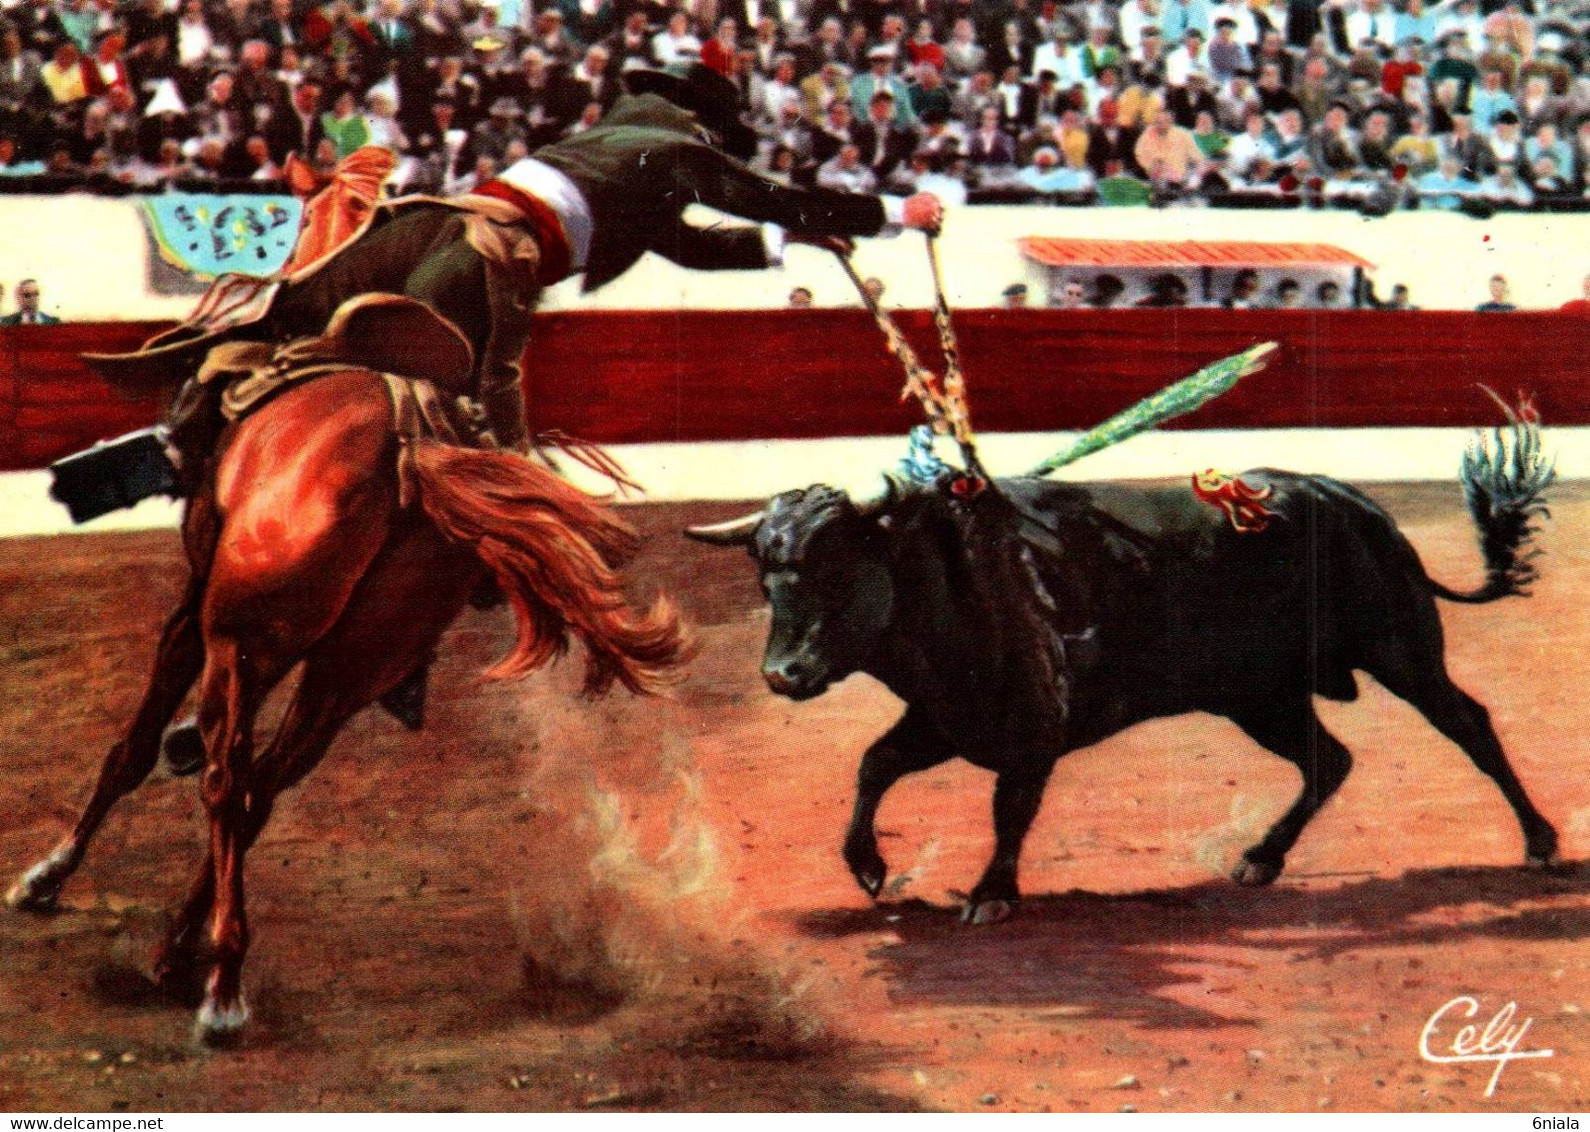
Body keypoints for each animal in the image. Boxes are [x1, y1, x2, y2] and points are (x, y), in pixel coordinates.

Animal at [6, 364, 690, 1042]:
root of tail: (412, 446)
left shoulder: (196, 616)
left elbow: (131, 752)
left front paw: (44, 877)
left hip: (243, 641)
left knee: (227, 785)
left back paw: (220, 987)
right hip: (348, 674)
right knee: (259, 791)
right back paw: (179, 950)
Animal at [690, 454, 1558, 922]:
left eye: (837, 569)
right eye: (764, 577)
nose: (782, 675)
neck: (953, 575)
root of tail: (1348, 498)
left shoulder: (1031, 731)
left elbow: (1010, 810)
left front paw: (992, 895)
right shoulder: (948, 717)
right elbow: (875, 764)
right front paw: (869, 869)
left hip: (1401, 650)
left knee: (1470, 724)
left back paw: (1541, 841)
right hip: (1259, 694)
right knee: (1329, 759)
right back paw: (1259, 860)